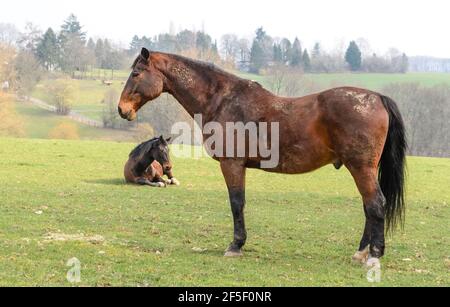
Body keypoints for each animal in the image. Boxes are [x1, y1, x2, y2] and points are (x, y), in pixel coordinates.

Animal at [118, 48, 406, 268]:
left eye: (135, 73)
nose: (122, 110)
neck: (221, 100)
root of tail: (377, 98)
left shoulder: (232, 164)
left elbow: (237, 203)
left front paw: (235, 245)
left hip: (361, 168)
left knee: (375, 204)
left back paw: (374, 255)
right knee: (369, 206)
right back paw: (361, 252)